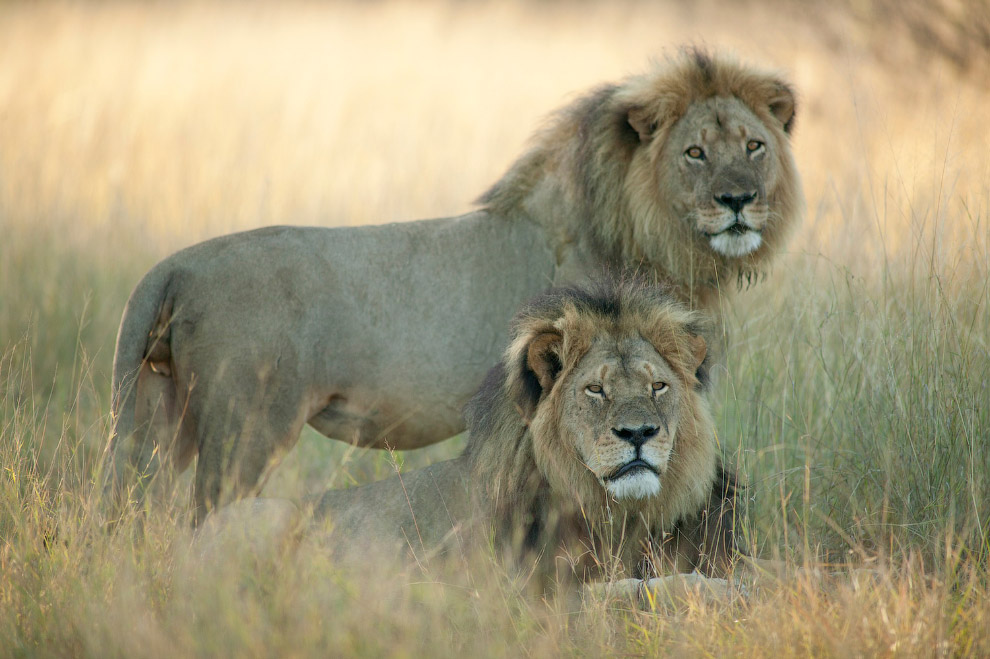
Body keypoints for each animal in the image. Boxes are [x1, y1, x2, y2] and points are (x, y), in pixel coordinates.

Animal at [106, 46, 808, 524]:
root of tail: (173, 267)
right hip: (246, 428)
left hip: (156, 416)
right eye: (695, 152)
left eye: (754, 146)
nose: (739, 200)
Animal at [200, 282, 744, 600]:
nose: (639, 434)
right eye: (595, 389)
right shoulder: (530, 590)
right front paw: (714, 589)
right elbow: (633, 589)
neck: (617, 510)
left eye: (659, 387)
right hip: (262, 517)